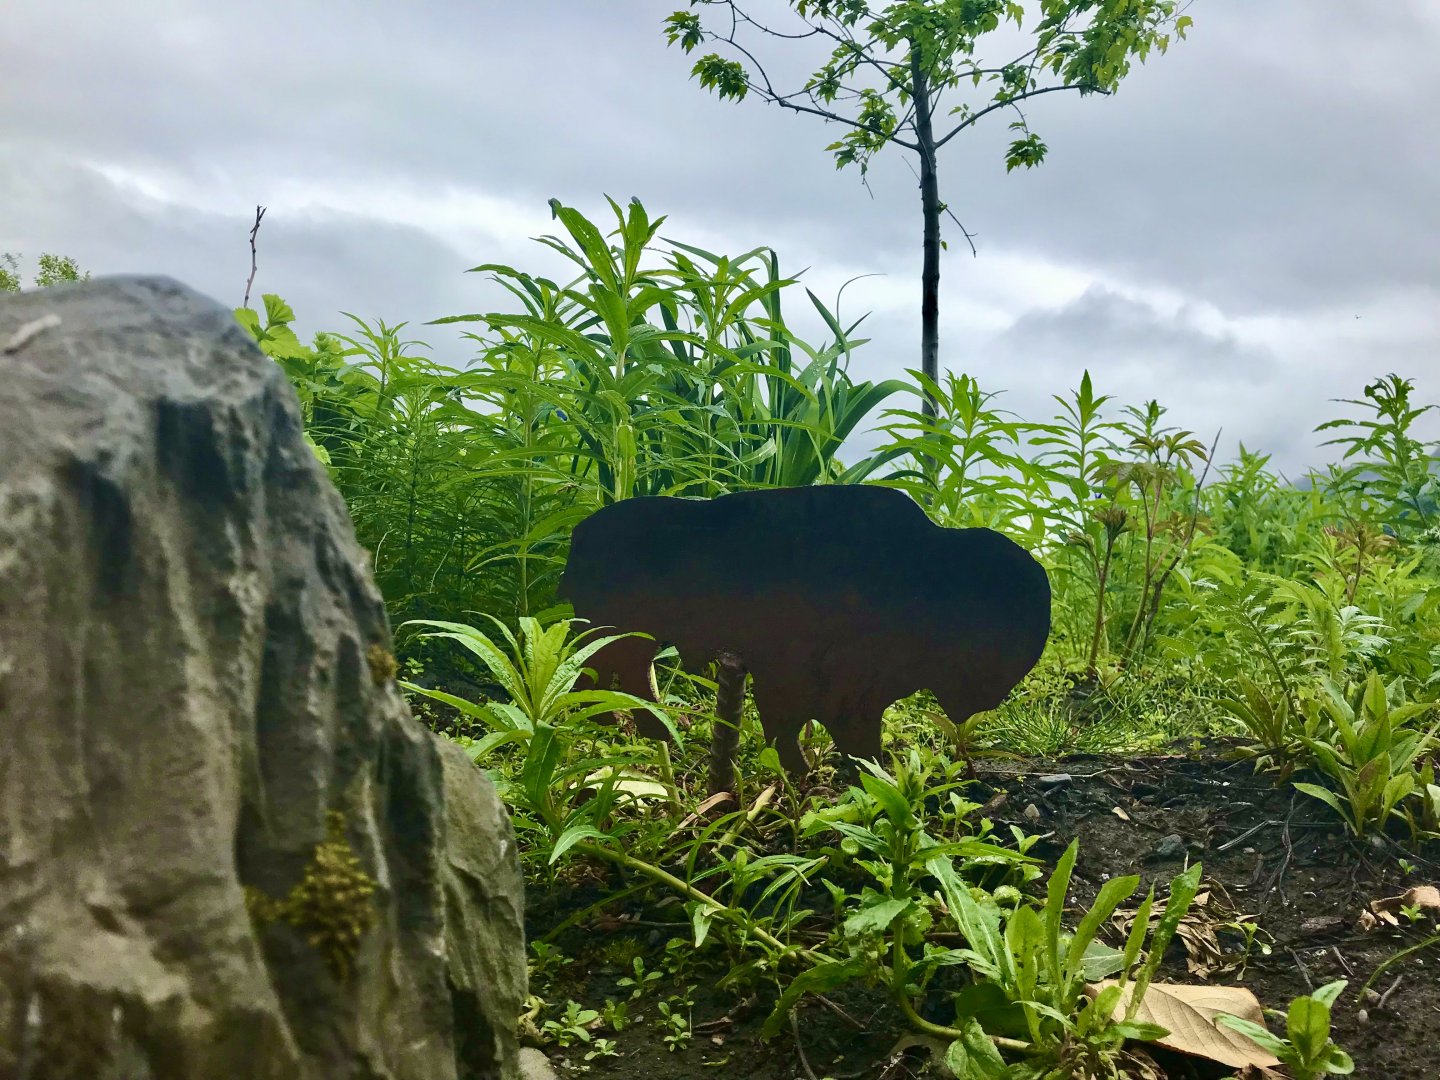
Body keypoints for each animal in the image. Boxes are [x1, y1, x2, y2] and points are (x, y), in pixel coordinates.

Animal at [558, 485, 1051, 772]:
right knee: (602, 675)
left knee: (615, 677)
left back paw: (644, 728)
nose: (985, 700)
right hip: (615, 634)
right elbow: (796, 722)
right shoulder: (801, 673)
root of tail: (580, 536)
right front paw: (822, 770)